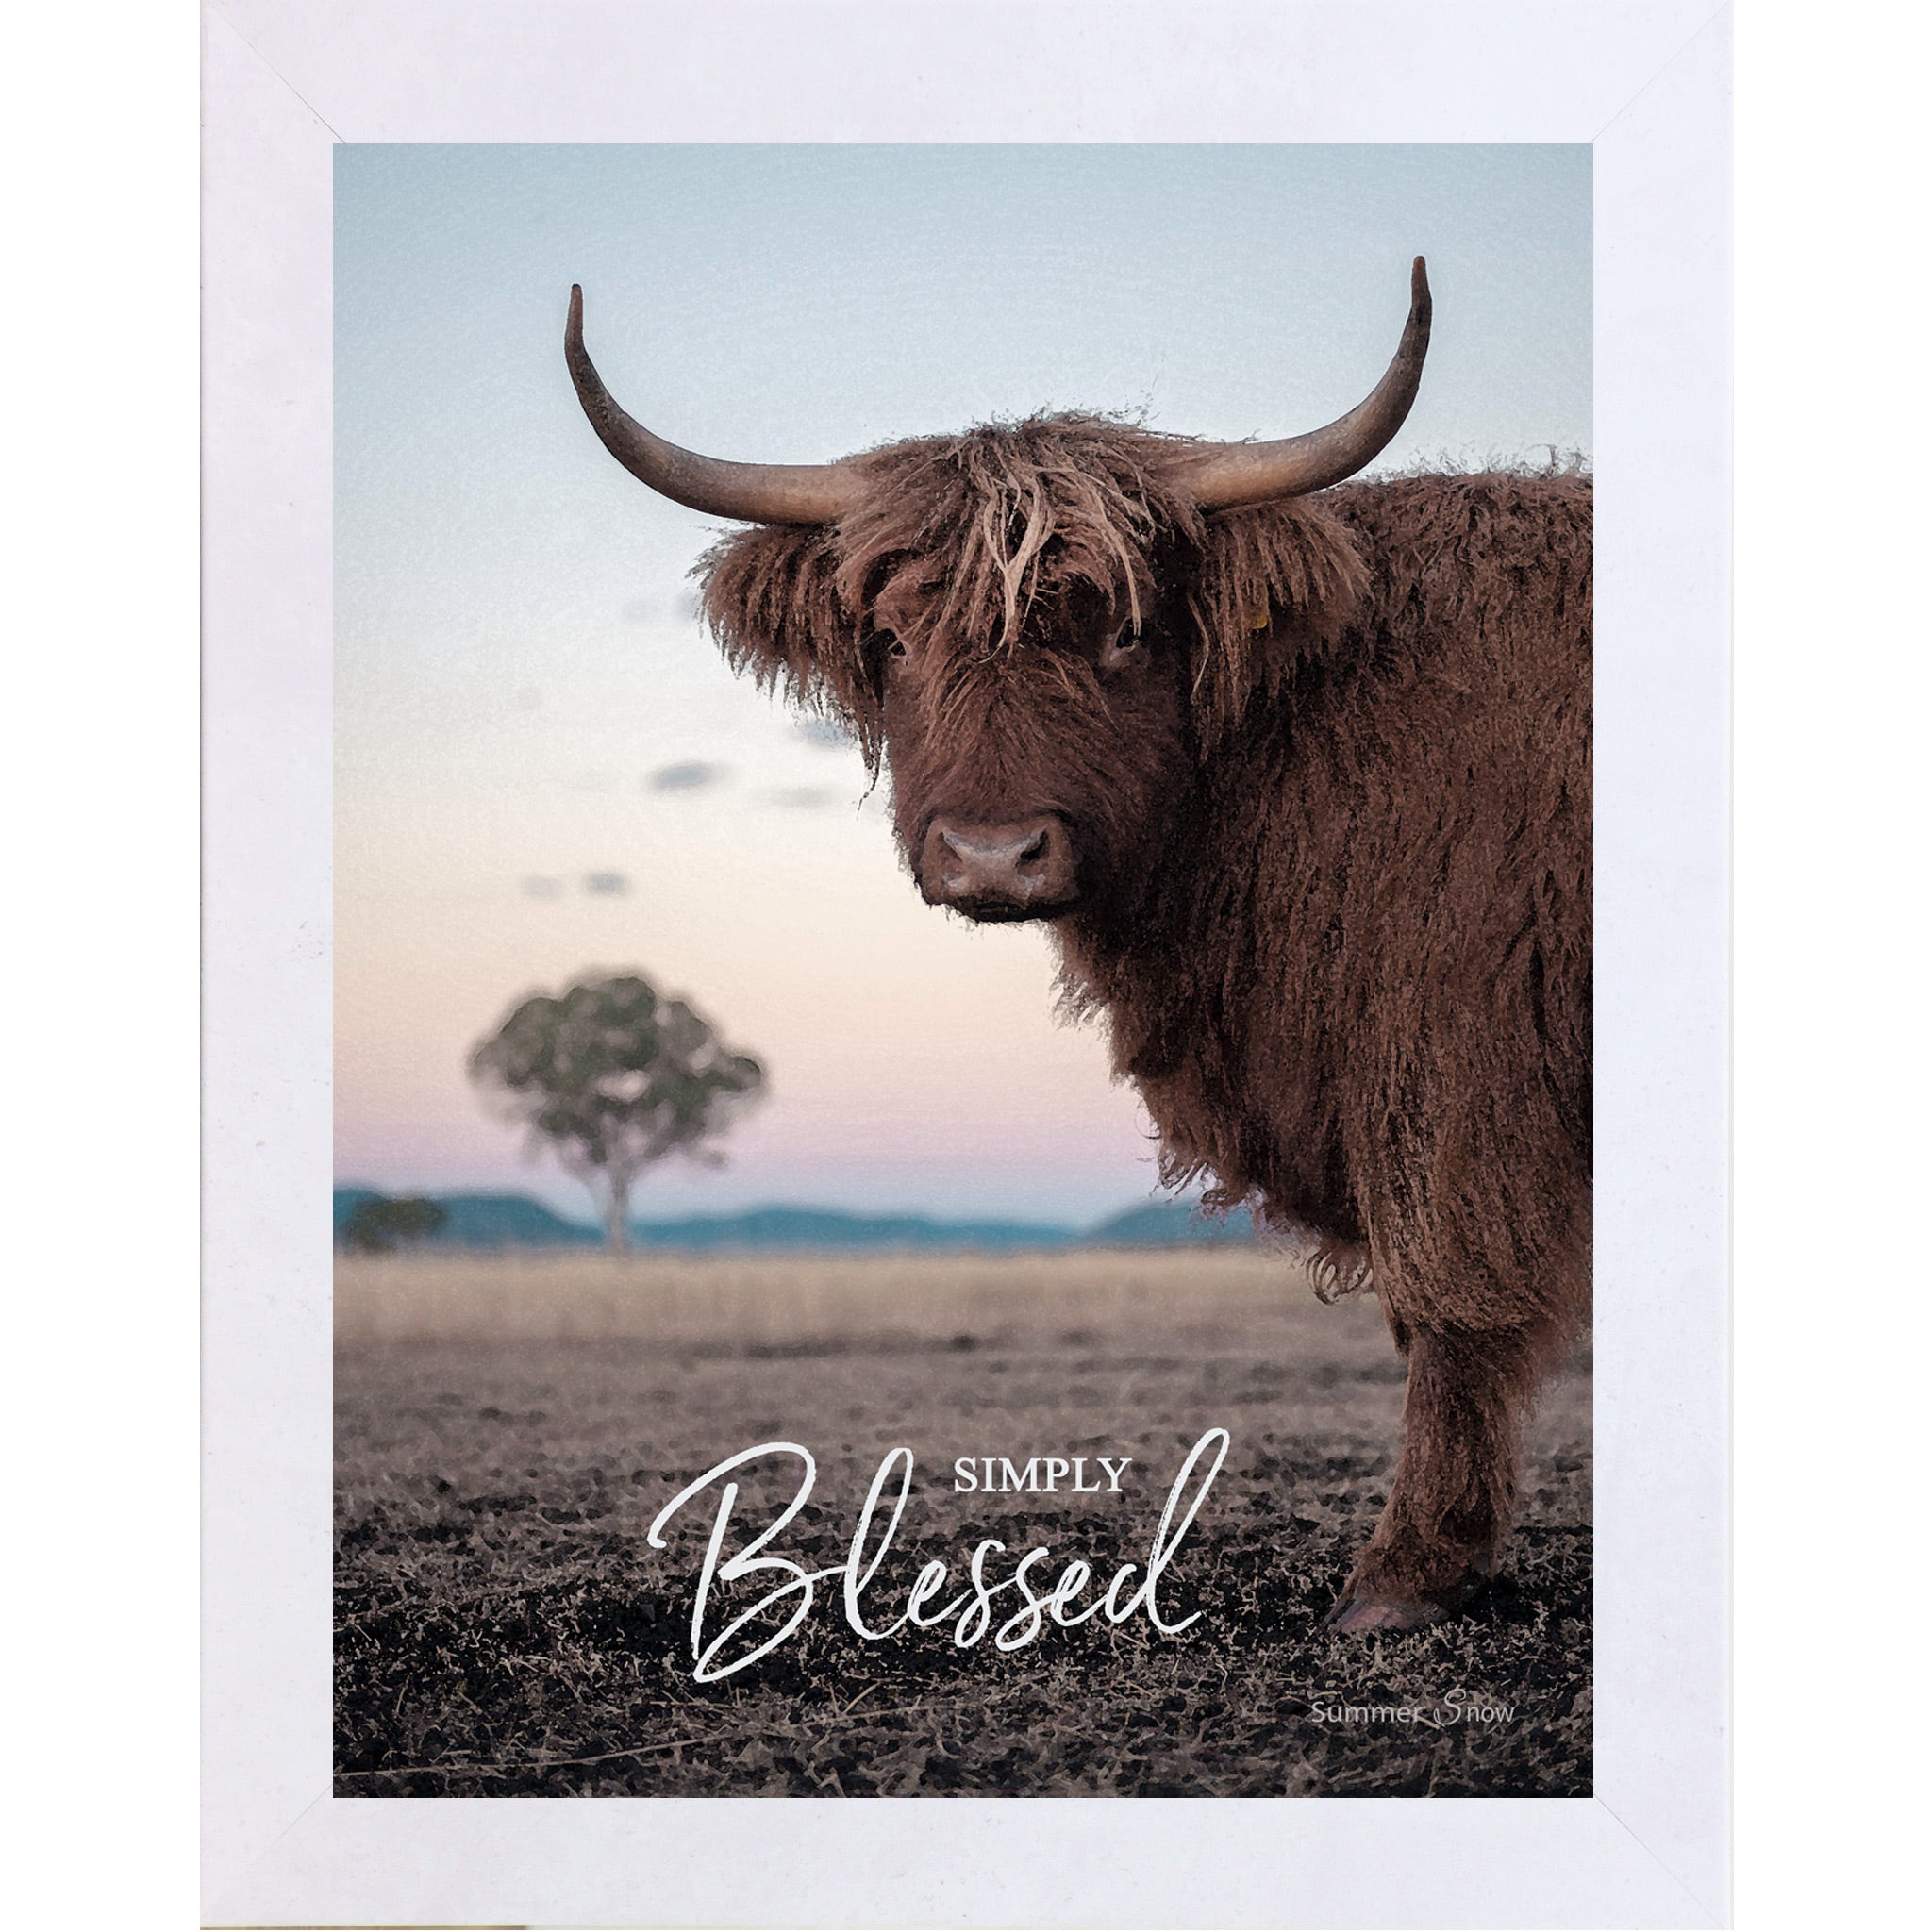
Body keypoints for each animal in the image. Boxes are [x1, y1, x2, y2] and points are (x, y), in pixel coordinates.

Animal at [564, 260, 1591, 1633]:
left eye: (1122, 630)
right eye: (894, 639)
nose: (993, 855)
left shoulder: (1451, 1063)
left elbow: (1447, 1306)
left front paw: (1404, 1572)